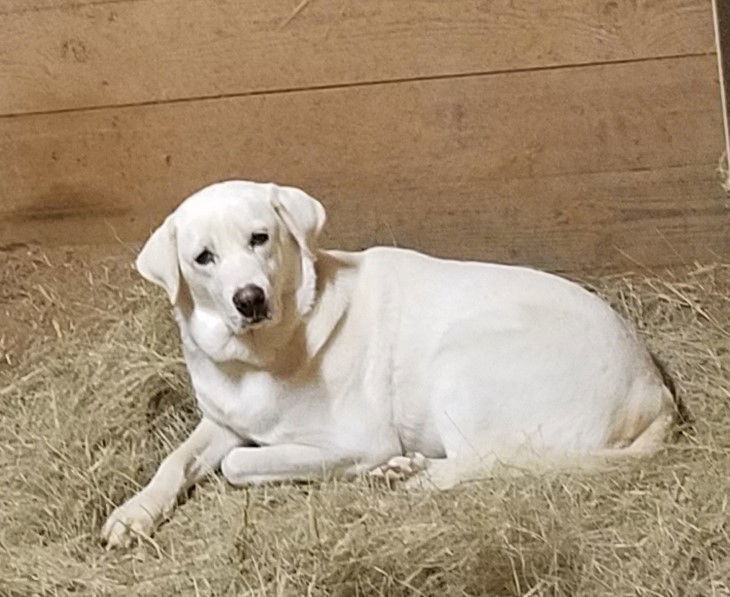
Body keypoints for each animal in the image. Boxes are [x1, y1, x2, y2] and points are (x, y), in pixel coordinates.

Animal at [101, 179, 672, 548]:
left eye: (259, 238)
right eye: (204, 258)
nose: (249, 299)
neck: (262, 353)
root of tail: (655, 390)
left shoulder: (358, 439)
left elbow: (236, 464)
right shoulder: (221, 420)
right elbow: (175, 461)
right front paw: (134, 513)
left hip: (462, 359)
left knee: (484, 462)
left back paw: (406, 475)